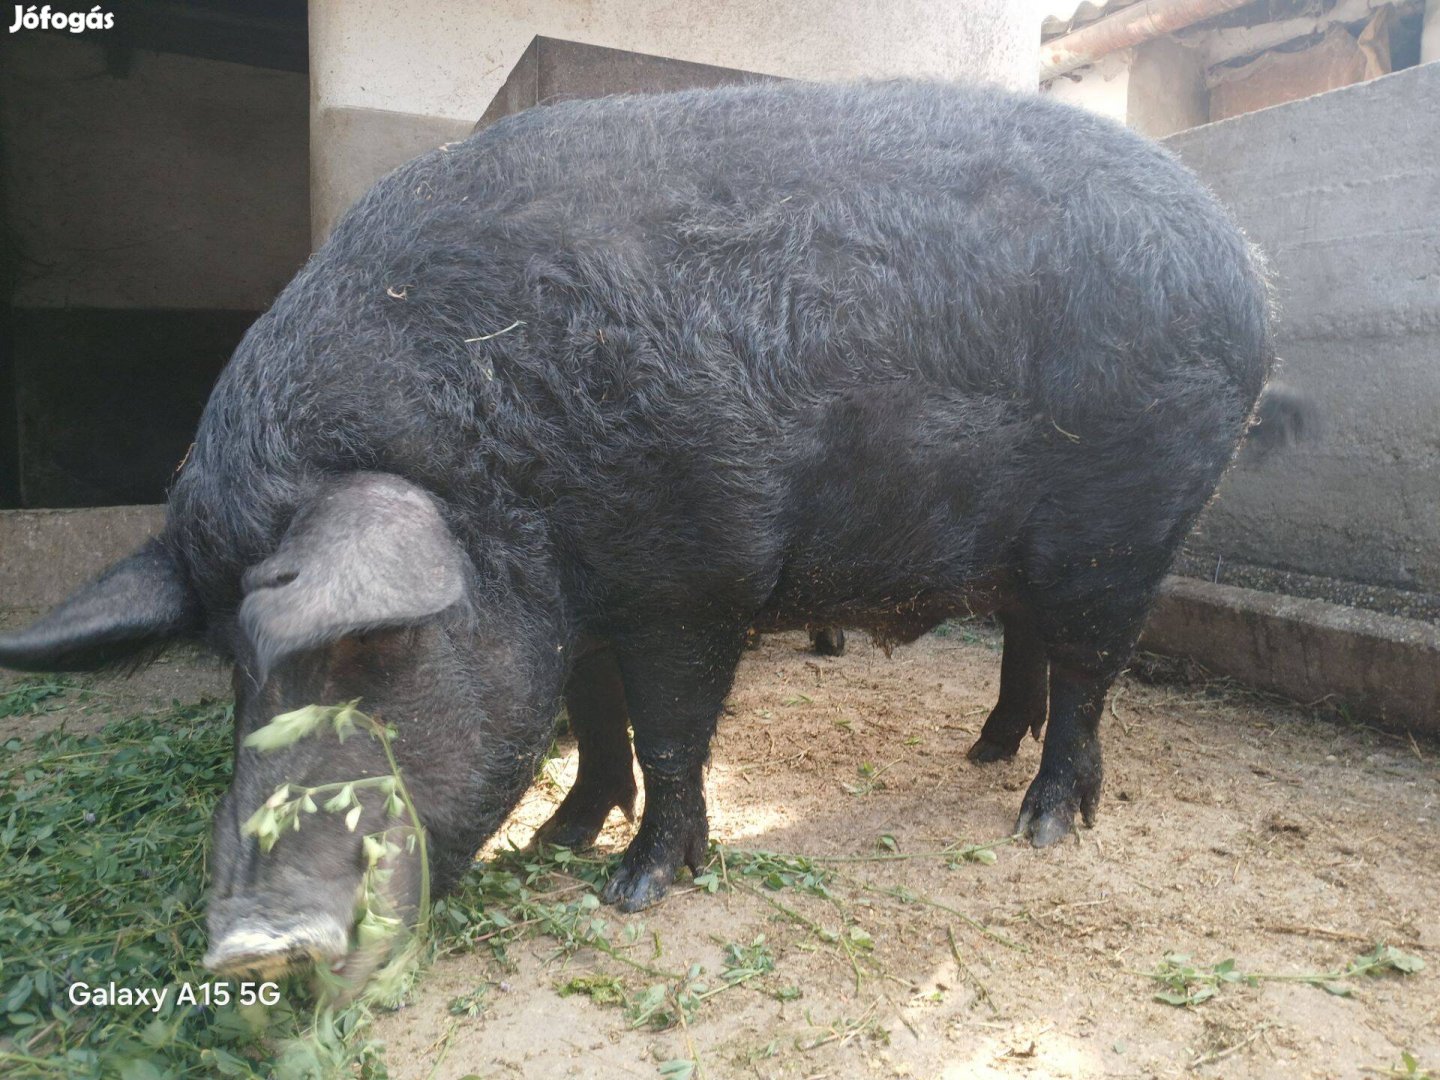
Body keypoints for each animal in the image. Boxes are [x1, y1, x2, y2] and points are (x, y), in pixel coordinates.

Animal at [0, 82, 1272, 979]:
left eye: (367, 651)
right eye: (232, 666)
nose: (253, 947)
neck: (494, 464)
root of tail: (1245, 265)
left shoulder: (690, 577)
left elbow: (666, 732)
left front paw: (634, 890)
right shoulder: (584, 606)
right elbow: (595, 721)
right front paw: (556, 842)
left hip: (1130, 522)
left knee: (1090, 667)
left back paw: (1041, 824)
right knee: (1030, 647)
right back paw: (983, 752)